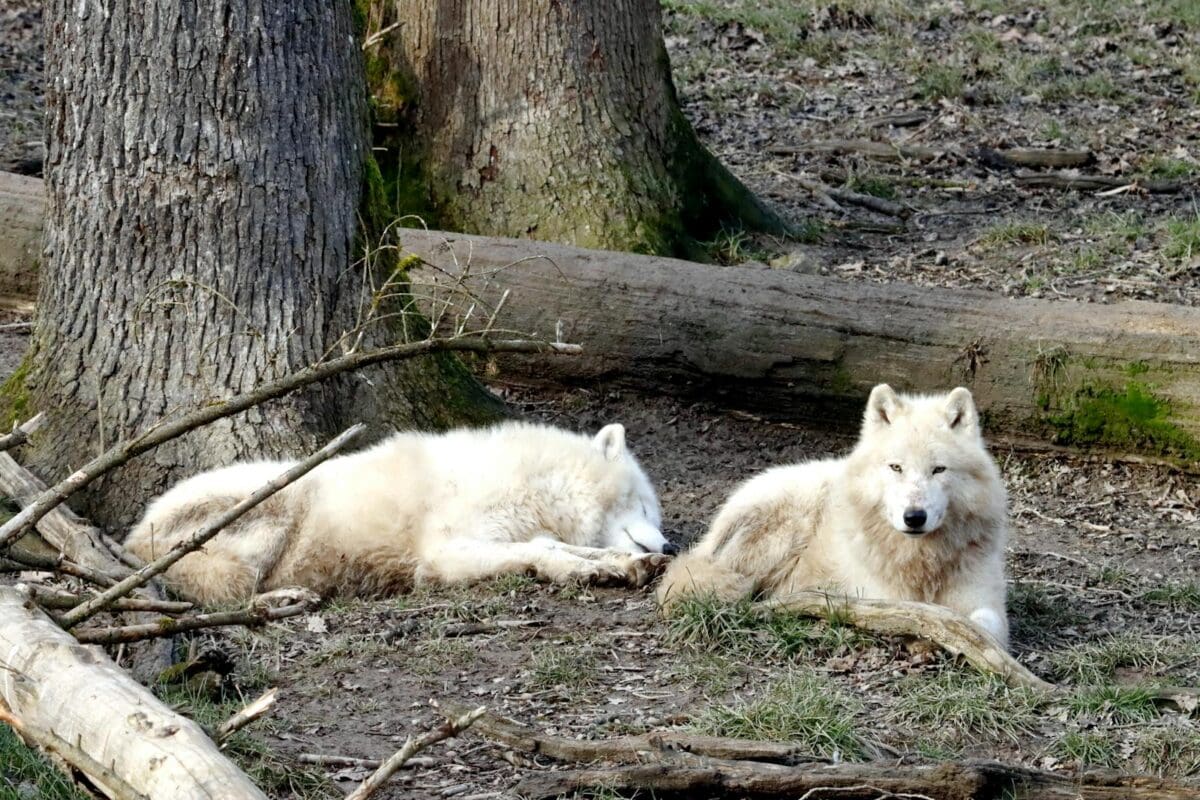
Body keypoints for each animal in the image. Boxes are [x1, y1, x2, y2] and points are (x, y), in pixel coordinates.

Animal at [125, 422, 675, 604]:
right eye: (647, 505)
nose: (671, 545)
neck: (535, 484)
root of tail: (134, 536)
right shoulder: (446, 553)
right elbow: (544, 554)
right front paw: (589, 570)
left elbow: (560, 547)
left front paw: (626, 566)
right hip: (272, 512)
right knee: (226, 597)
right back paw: (284, 598)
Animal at [656, 385, 1009, 646]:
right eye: (896, 467)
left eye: (938, 470)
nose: (914, 517)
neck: (922, 561)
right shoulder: (885, 599)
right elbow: (921, 621)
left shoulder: (986, 602)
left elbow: (983, 625)